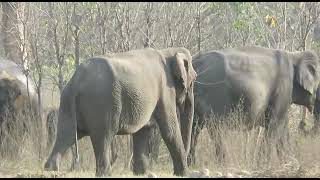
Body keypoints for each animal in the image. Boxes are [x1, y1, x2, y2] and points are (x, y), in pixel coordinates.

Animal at [43, 47, 196, 176]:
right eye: (194, 79)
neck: (167, 51)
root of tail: (77, 80)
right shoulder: (165, 90)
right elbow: (169, 129)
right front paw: (183, 174)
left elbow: (143, 131)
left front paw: (140, 174)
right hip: (102, 103)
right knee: (103, 137)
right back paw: (104, 174)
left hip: (67, 101)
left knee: (66, 134)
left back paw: (50, 169)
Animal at [186, 45, 320, 167]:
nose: (303, 124)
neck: (295, 56)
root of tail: (196, 62)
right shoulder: (283, 88)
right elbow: (274, 124)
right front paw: (262, 166)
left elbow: (282, 127)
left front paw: (289, 163)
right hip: (214, 94)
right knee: (216, 128)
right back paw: (225, 164)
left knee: (193, 128)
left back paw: (191, 166)